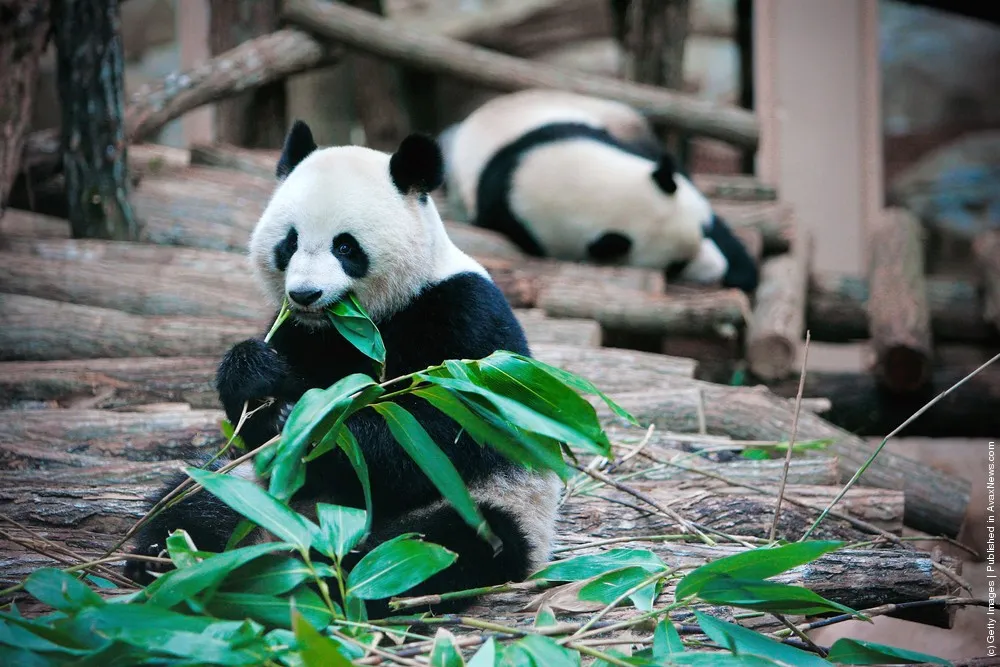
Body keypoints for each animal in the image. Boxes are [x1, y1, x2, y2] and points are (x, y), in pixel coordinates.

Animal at [125, 121, 564, 620]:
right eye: (289, 242)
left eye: (345, 246)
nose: (305, 293)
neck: (361, 319)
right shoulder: (303, 334)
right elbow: (254, 414)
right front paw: (260, 383)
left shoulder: (464, 319)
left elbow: (445, 430)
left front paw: (313, 433)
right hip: (250, 490)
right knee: (195, 502)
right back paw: (171, 559)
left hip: (489, 504)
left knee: (444, 543)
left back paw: (335, 576)